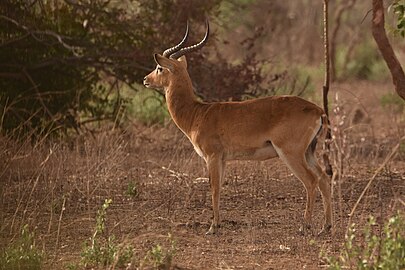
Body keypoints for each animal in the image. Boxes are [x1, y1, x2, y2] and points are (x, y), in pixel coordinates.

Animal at [142, 20, 332, 236]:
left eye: (159, 68)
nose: (145, 79)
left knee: (311, 181)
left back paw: (304, 226)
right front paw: (216, 224)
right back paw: (326, 226)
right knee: (324, 179)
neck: (197, 113)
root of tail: (317, 109)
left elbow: (214, 188)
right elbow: (219, 188)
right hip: (308, 152)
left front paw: (212, 227)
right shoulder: (223, 159)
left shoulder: (212, 156)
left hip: (291, 153)